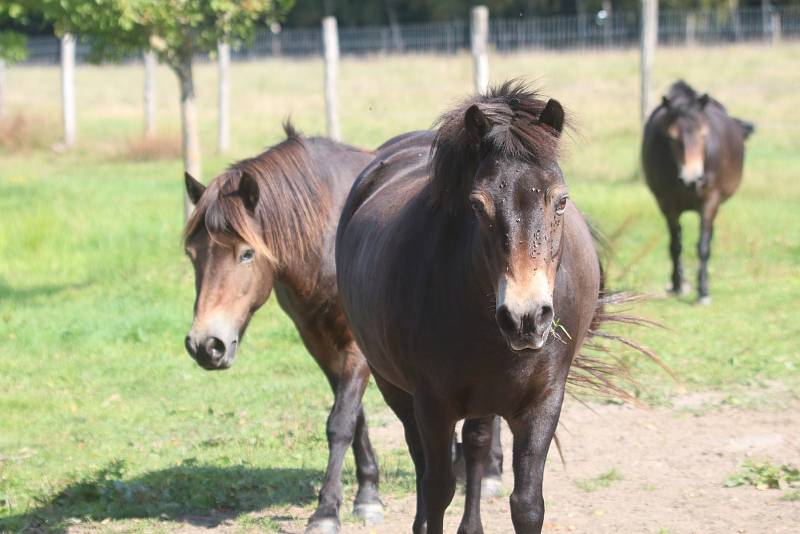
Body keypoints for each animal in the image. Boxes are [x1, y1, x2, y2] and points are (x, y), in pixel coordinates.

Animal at [334, 82, 652, 534]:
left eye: (561, 201)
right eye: (477, 204)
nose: (526, 318)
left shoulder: (544, 401)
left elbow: (526, 503)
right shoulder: (432, 403)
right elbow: (438, 489)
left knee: (477, 446)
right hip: (393, 385)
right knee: (424, 459)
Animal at [640, 80, 752, 306]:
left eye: (703, 134)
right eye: (672, 137)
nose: (692, 179)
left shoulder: (710, 202)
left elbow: (703, 246)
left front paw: (703, 291)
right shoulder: (667, 204)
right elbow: (675, 245)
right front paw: (677, 285)